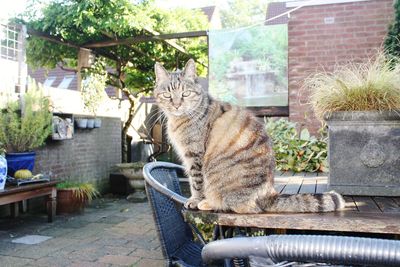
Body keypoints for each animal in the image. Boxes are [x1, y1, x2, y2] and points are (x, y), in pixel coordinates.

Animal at [153, 59, 344, 215]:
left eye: (185, 94)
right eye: (167, 95)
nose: (176, 105)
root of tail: (268, 194)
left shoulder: (194, 156)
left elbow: (196, 182)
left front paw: (195, 200)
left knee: (235, 206)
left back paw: (207, 203)